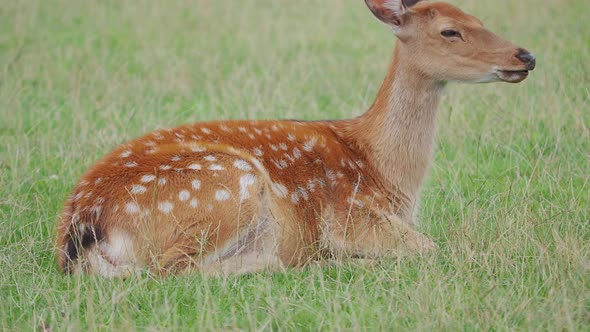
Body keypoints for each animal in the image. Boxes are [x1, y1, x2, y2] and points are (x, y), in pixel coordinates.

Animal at [54, 0, 536, 278]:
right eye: (450, 31)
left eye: (479, 17)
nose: (525, 55)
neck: (385, 170)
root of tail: (82, 229)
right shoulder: (350, 213)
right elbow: (433, 249)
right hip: (225, 185)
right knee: (169, 270)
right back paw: (295, 263)